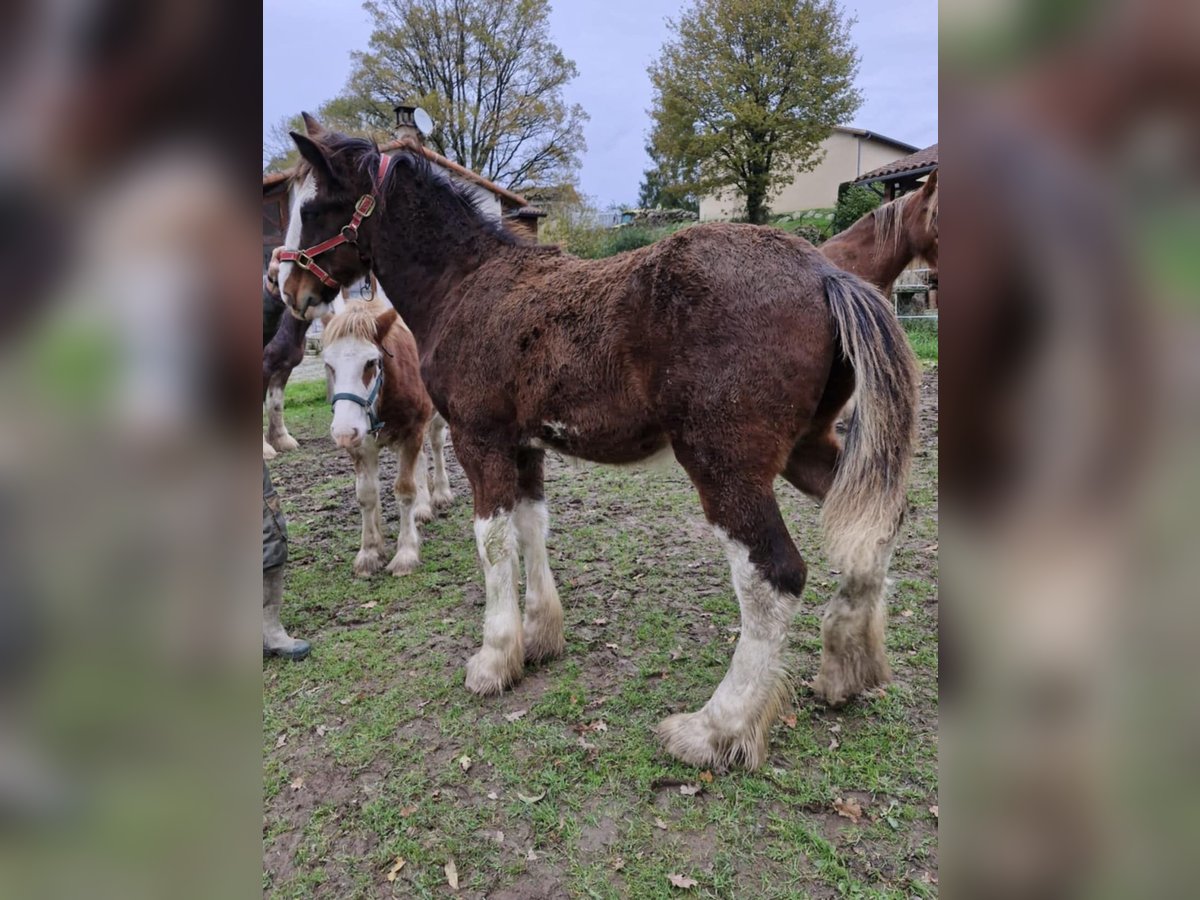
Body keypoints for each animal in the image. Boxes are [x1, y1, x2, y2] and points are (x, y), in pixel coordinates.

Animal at [278, 116, 916, 772]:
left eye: (313, 207)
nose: (288, 287)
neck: (466, 283)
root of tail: (825, 274)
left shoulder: (479, 439)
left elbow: (493, 542)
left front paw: (494, 660)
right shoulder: (526, 445)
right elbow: (531, 526)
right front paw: (540, 638)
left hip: (725, 465)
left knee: (775, 576)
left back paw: (715, 730)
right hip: (807, 448)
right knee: (878, 527)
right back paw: (847, 671)